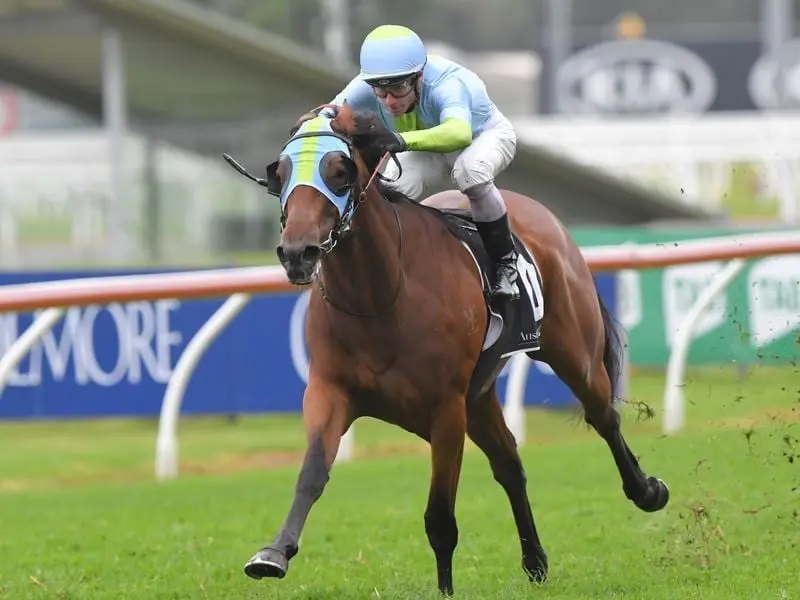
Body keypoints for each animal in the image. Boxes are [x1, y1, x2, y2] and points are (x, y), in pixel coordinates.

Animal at [223, 103, 668, 596]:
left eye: (339, 172)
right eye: (280, 173)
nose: (297, 253)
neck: (380, 295)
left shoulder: (446, 409)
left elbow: (439, 516)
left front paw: (445, 590)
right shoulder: (329, 391)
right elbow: (312, 474)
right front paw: (273, 554)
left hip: (573, 354)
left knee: (603, 417)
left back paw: (647, 491)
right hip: (480, 396)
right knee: (509, 462)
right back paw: (535, 561)